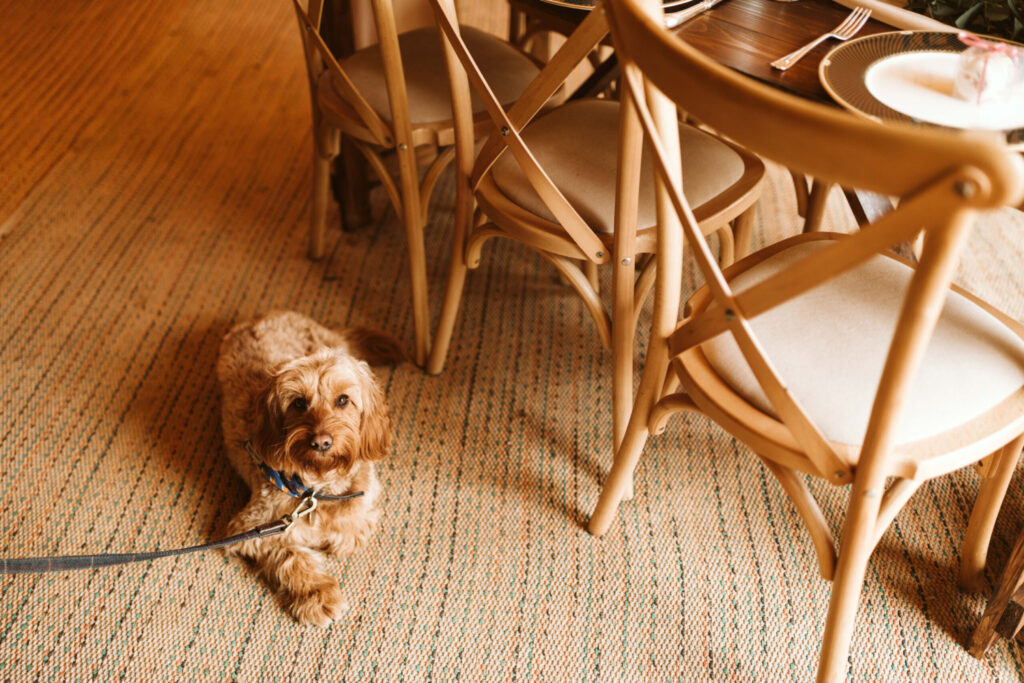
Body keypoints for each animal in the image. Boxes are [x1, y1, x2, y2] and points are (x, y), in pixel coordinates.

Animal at [217, 313, 403, 626]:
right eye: (298, 403)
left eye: (343, 400)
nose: (321, 442)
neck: (319, 487)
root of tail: (264, 316)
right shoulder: (252, 530)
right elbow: (291, 556)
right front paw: (319, 596)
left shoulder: (365, 499)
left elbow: (353, 525)